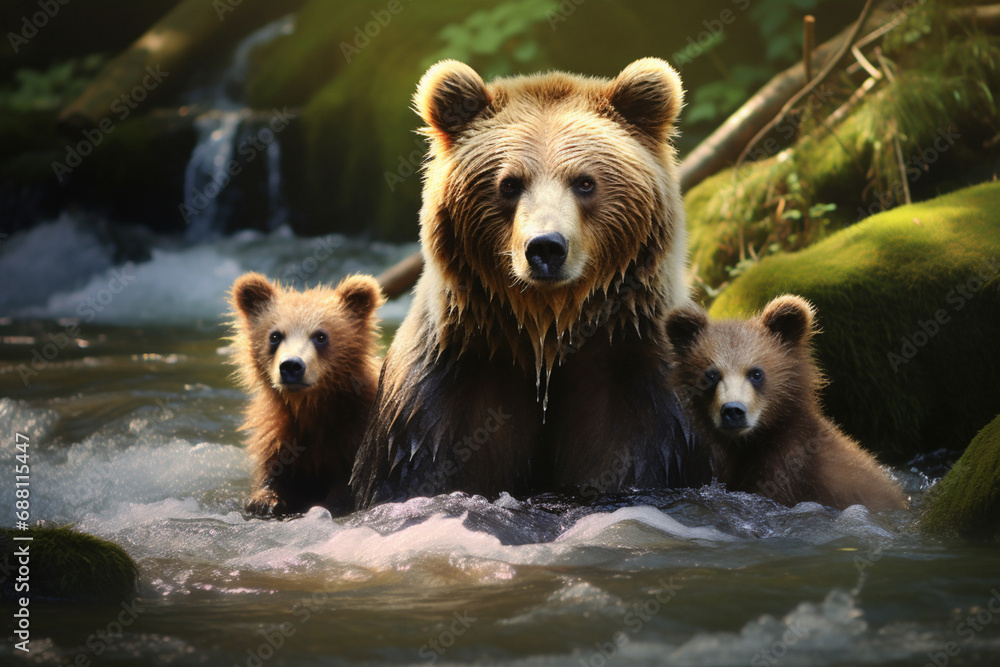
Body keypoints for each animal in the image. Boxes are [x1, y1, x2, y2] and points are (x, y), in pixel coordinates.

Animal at [229, 272, 385, 517]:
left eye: (320, 336)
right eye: (275, 335)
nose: (291, 366)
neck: (312, 405)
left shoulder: (357, 427)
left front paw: (336, 500)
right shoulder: (278, 433)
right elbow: (273, 472)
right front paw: (264, 500)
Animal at [350, 58, 711, 508]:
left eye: (585, 181)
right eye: (509, 183)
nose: (545, 247)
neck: (546, 334)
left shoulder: (637, 379)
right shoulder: (449, 389)